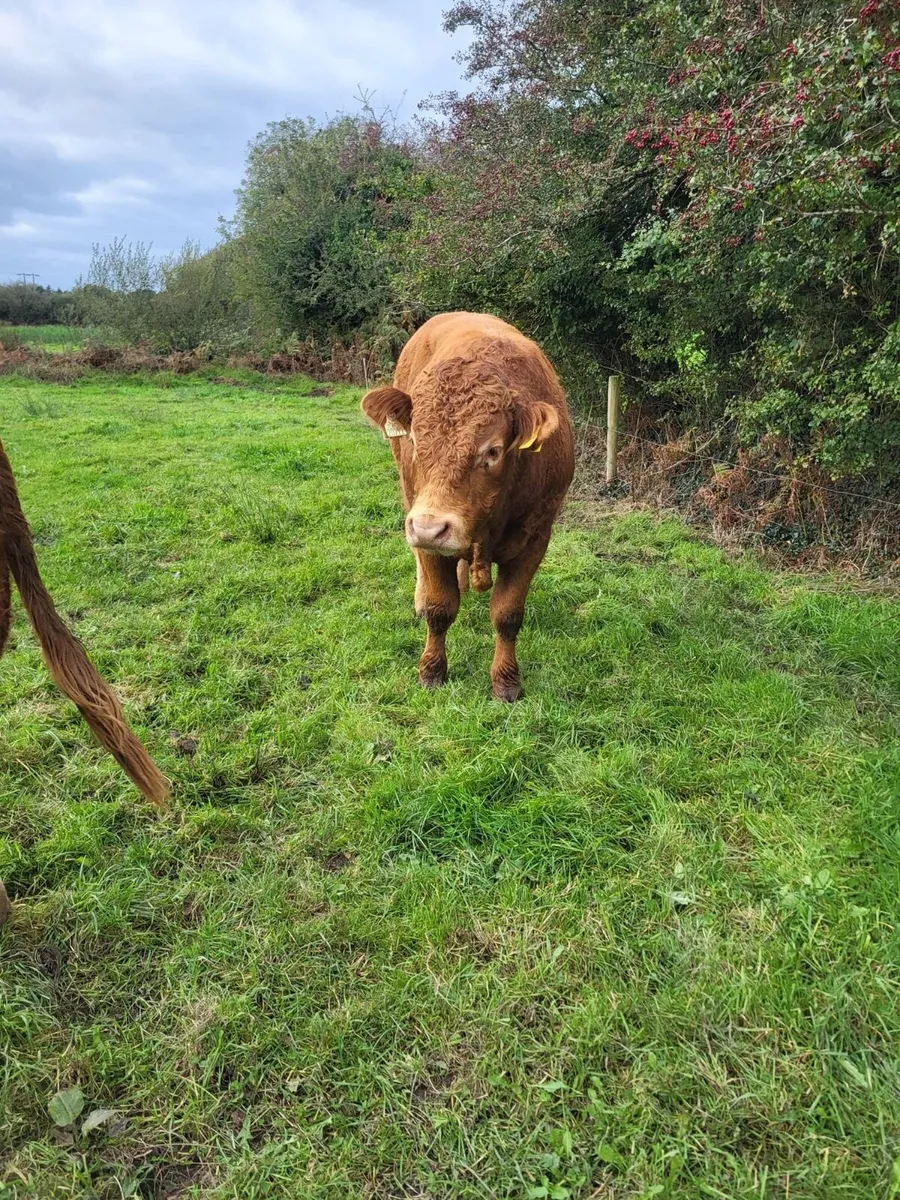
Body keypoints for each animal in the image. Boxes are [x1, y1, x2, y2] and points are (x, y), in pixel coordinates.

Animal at [361, 312, 574, 701]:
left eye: (493, 450)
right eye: (416, 440)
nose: (430, 528)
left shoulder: (536, 538)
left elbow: (507, 614)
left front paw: (506, 681)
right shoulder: (422, 526)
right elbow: (440, 607)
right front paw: (432, 670)